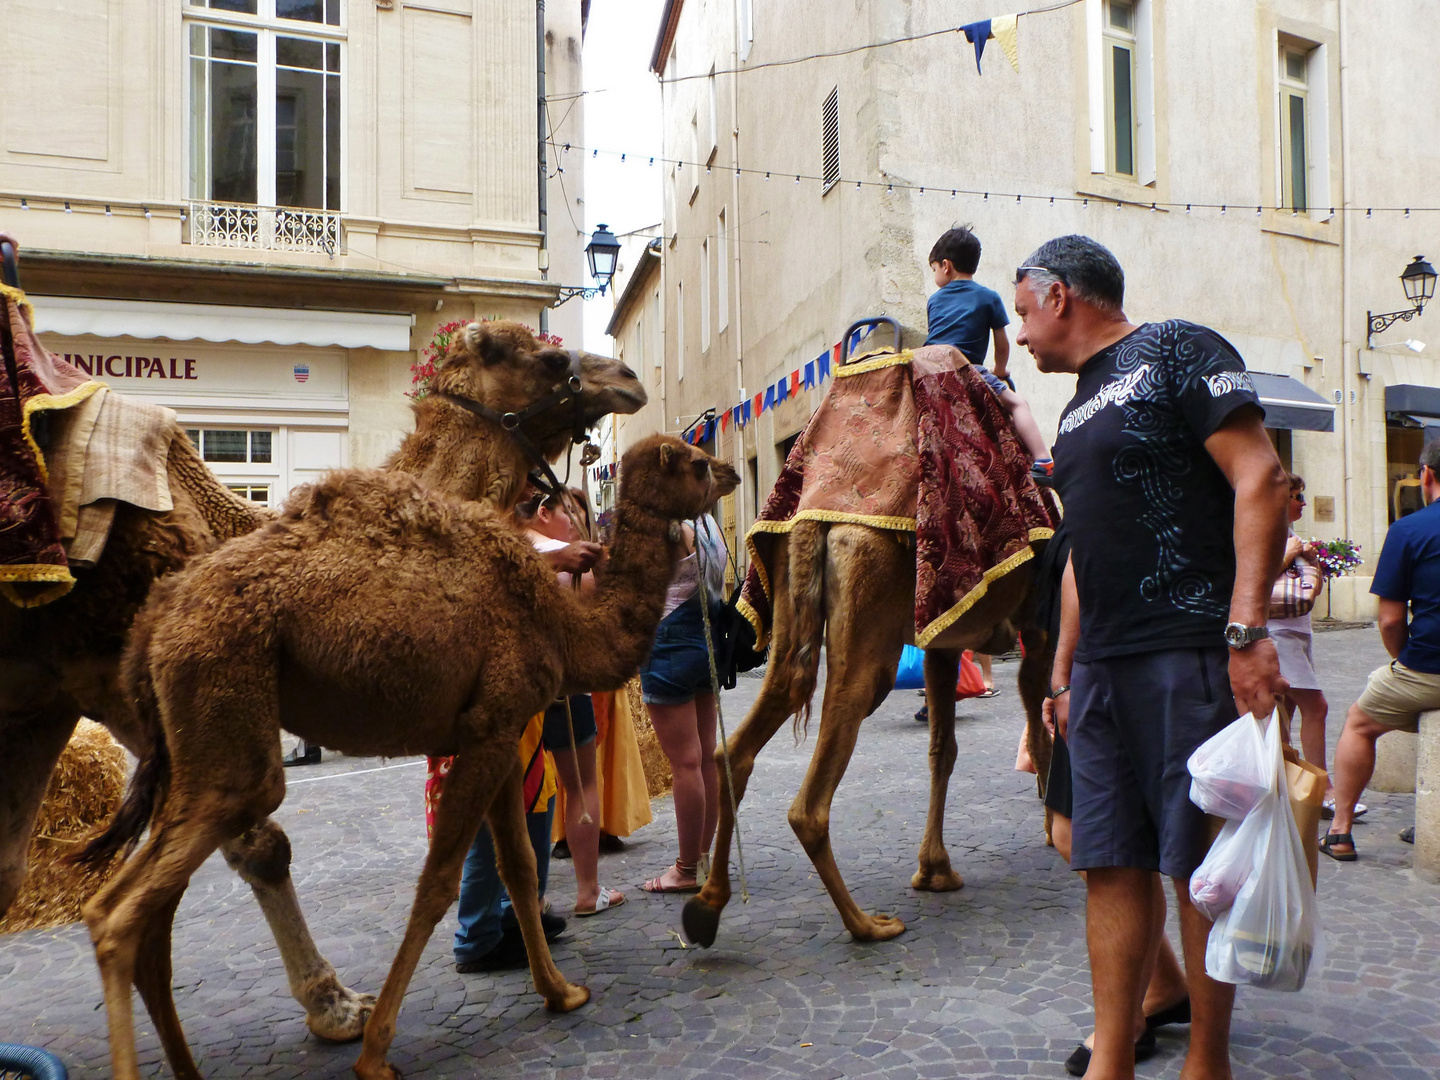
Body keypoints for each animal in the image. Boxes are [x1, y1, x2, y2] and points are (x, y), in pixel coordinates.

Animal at [0, 315, 642, 1048]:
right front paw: (336, 1006)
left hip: (28, 710)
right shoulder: (118, 683)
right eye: (550, 358)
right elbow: (261, 843)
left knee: (10, 870)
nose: (628, 379)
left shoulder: (55, 702)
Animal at [71, 426, 731, 1080]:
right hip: (229, 731)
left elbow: (518, 867)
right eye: (693, 462)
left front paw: (561, 992)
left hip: (187, 749)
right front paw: (375, 1053)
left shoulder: (496, 734)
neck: (562, 624)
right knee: (119, 912)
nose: (728, 472)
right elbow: (438, 882)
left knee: (153, 912)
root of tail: (153, 623)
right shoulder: (493, 727)